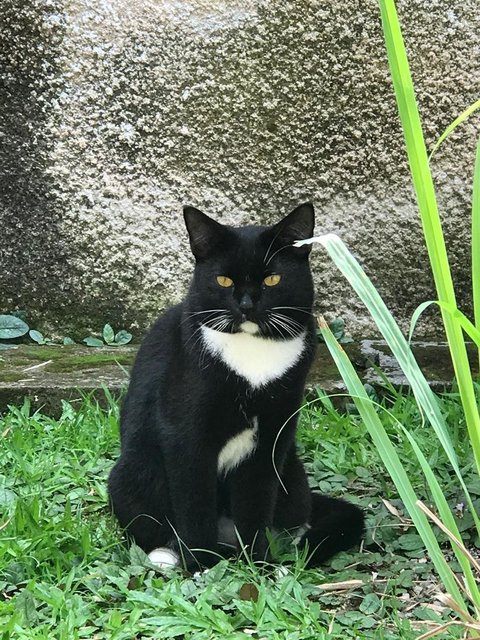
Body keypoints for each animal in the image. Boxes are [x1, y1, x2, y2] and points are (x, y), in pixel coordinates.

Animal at [108, 204, 364, 568]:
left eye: (272, 278)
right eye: (223, 279)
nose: (245, 305)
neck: (252, 355)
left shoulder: (272, 436)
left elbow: (256, 501)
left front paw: (259, 563)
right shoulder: (185, 436)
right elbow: (194, 503)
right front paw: (201, 565)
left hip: (293, 475)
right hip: (132, 472)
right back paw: (168, 554)